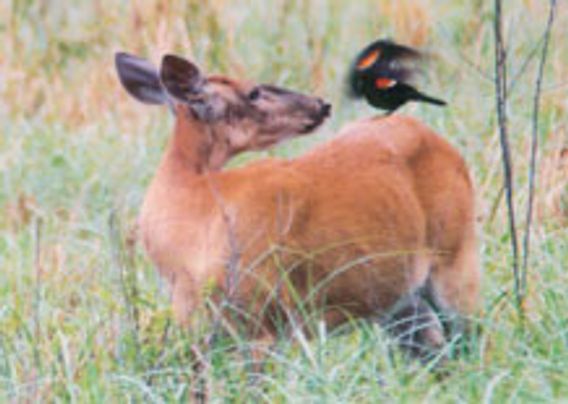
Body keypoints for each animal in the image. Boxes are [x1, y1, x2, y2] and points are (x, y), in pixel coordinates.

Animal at [115, 52, 480, 364]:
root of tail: (445, 145)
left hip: (456, 257)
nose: (322, 104)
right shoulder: (199, 323)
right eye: (253, 91)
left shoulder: (262, 313)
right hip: (399, 298)